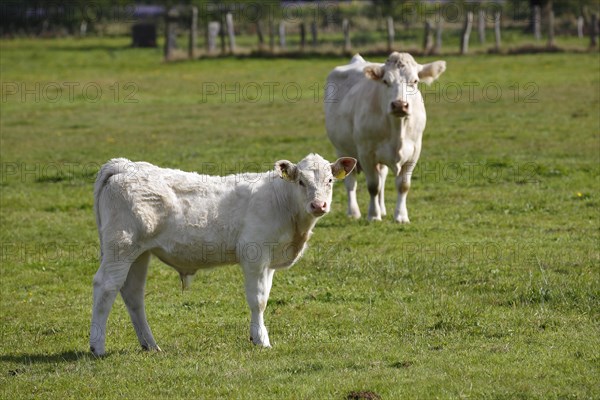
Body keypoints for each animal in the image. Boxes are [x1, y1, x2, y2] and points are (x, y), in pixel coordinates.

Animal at [89, 154, 356, 356]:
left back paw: (151, 345)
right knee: (106, 286)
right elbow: (258, 300)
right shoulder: (254, 254)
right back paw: (97, 347)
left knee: (133, 293)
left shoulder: (269, 262)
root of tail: (124, 165)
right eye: (301, 181)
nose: (318, 205)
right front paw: (261, 339)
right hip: (121, 246)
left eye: (330, 180)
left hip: (139, 253)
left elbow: (265, 296)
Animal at [324, 51, 446, 223]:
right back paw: (353, 212)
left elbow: (402, 185)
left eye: (414, 81)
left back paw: (382, 209)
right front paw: (373, 215)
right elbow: (373, 186)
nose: (400, 105)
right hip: (342, 149)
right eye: (385, 81)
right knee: (351, 183)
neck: (397, 129)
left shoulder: (414, 152)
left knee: (381, 178)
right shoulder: (366, 153)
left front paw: (400, 216)